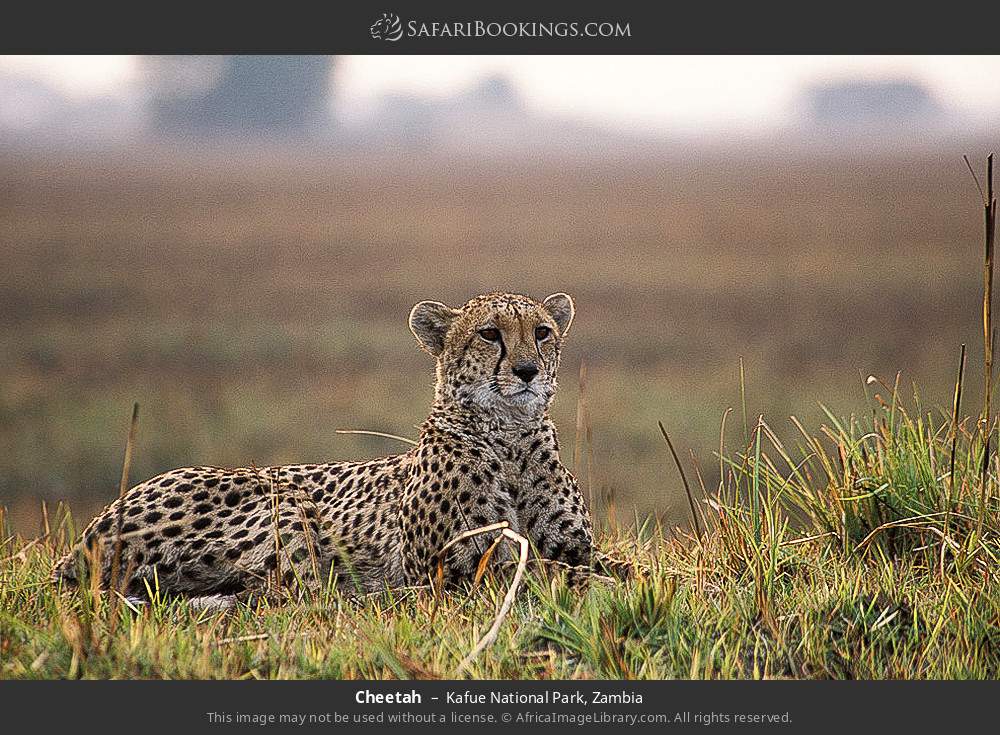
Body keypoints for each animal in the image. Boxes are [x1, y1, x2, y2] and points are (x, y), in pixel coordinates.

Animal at [53, 291, 598, 604]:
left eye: (542, 332)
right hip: (286, 503)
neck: (509, 437)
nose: (527, 371)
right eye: (489, 334)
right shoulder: (450, 570)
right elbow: (540, 571)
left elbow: (583, 564)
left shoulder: (574, 547)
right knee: (304, 594)